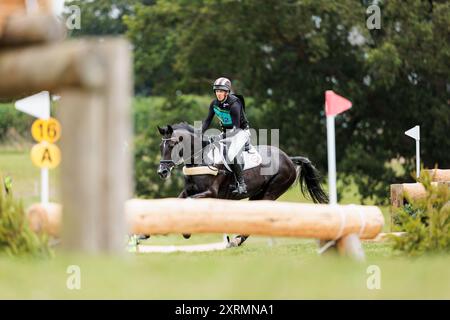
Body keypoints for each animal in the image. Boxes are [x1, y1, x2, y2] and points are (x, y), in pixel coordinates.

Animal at [156, 124, 326, 246]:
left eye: (172, 145)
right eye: (161, 146)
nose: (162, 172)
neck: (201, 159)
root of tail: (289, 158)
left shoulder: (211, 193)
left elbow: (188, 203)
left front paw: (186, 231)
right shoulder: (189, 190)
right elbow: (178, 202)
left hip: (271, 192)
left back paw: (237, 240)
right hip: (257, 195)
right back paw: (236, 240)